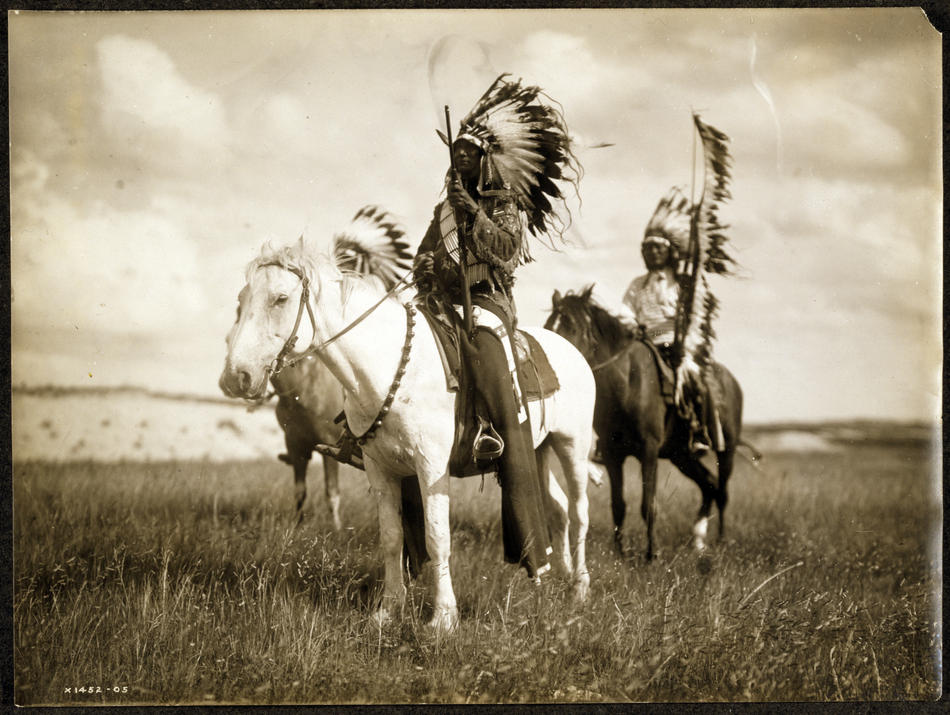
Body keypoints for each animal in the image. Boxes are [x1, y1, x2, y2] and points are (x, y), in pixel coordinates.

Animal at [219, 241, 600, 632]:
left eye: (280, 298)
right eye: (242, 299)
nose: (236, 377)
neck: (389, 367)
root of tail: (571, 350)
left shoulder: (431, 467)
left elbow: (437, 538)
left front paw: (443, 618)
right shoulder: (381, 469)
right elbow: (392, 539)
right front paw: (388, 611)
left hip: (572, 446)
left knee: (578, 512)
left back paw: (579, 588)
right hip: (538, 451)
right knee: (558, 507)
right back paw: (556, 576)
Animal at [548, 286, 748, 560]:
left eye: (572, 326)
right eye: (549, 325)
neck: (627, 384)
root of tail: (731, 382)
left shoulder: (649, 451)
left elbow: (648, 505)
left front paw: (652, 554)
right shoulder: (612, 454)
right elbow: (618, 505)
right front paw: (620, 553)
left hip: (725, 451)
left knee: (723, 492)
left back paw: (721, 540)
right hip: (682, 456)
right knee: (709, 484)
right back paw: (698, 541)